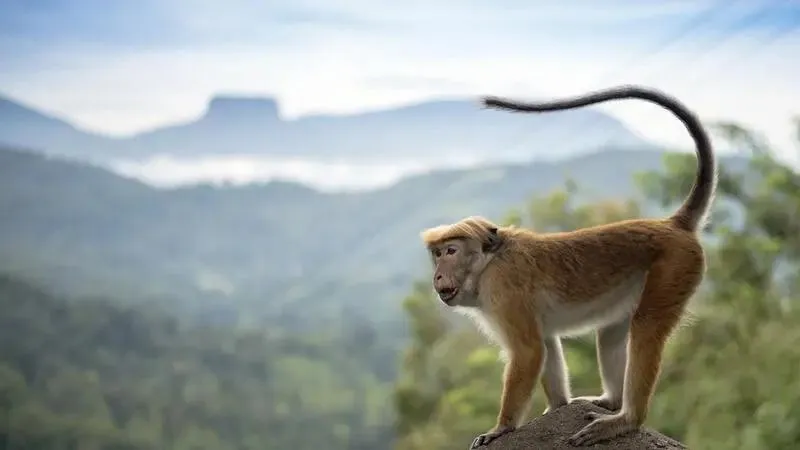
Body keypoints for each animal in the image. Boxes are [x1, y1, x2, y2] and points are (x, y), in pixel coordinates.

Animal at [420, 85, 716, 448]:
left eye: (451, 251)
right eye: (437, 254)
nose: (438, 274)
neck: (490, 263)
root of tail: (673, 225)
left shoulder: (503, 289)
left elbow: (529, 352)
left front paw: (501, 428)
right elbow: (545, 344)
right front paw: (558, 406)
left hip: (675, 266)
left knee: (646, 327)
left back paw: (626, 420)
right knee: (610, 333)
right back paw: (611, 402)